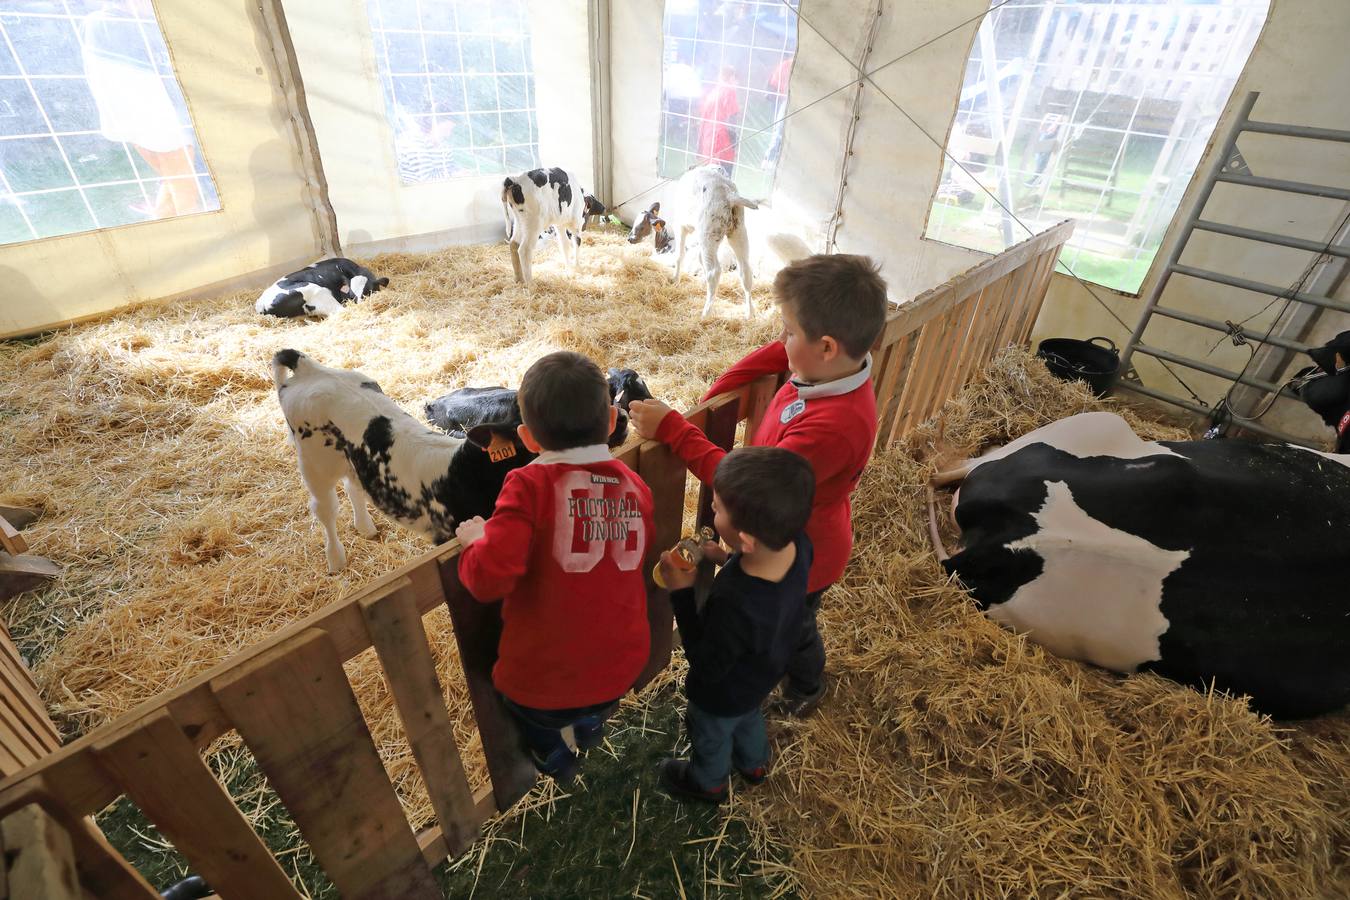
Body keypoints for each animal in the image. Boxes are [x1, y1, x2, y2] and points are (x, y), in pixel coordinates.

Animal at [623, 166, 756, 319]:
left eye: (642, 227)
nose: (630, 238)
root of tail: (729, 194)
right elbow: (698, 259)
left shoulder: (680, 226)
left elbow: (679, 255)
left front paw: (675, 280)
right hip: (738, 231)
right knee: (745, 270)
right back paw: (749, 313)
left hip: (708, 234)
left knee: (714, 271)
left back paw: (706, 313)